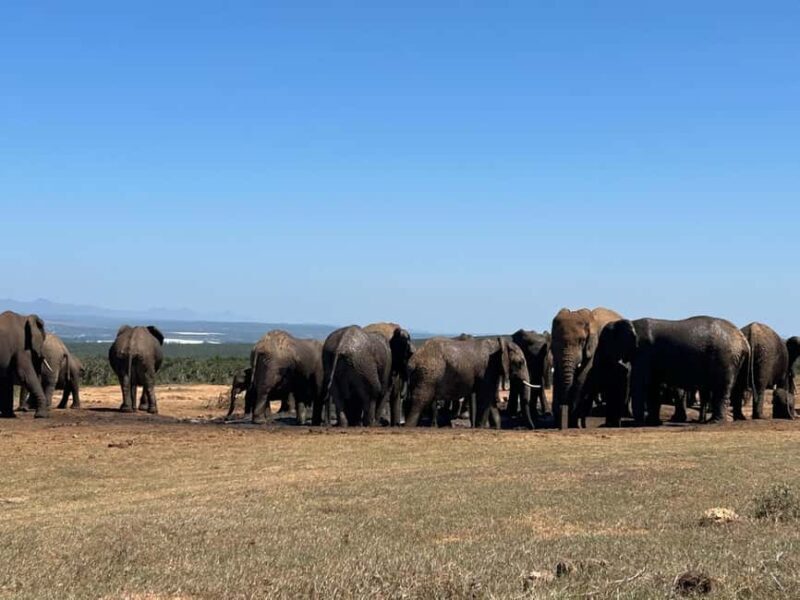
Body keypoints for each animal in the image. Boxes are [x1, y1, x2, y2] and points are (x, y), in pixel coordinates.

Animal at [595, 316, 749, 425]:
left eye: (603, 343)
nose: (616, 423)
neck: (631, 322)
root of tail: (743, 339)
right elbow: (653, 386)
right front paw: (652, 422)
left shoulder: (644, 353)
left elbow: (641, 384)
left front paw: (638, 423)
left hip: (725, 358)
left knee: (721, 388)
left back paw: (715, 422)